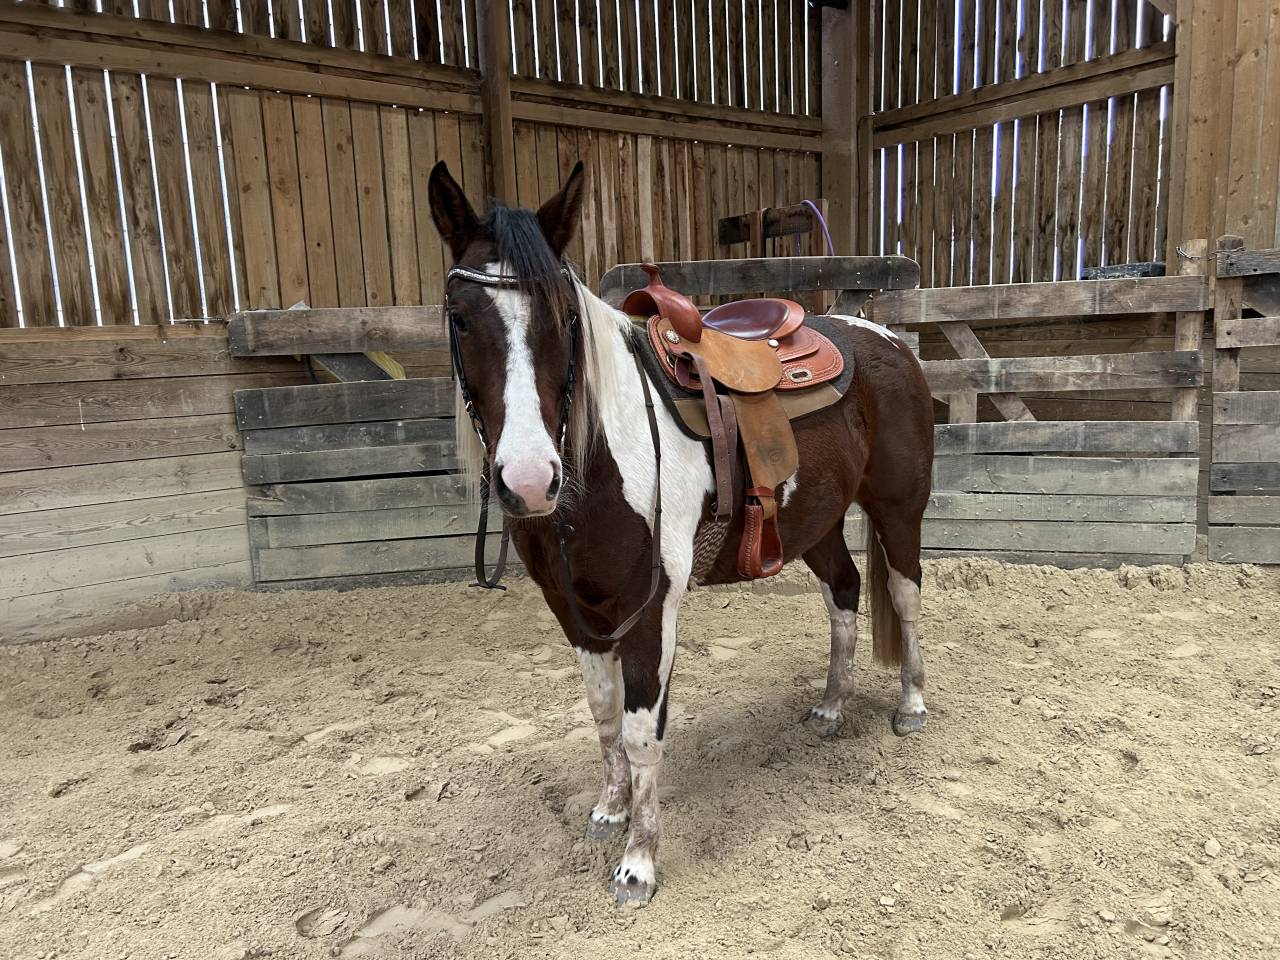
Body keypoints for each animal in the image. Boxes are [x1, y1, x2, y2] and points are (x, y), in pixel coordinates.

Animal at [428, 160, 934, 906]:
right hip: (815, 523)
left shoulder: (651, 608)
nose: (528, 478)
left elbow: (643, 732)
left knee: (903, 594)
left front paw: (639, 862)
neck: (598, 461)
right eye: (460, 317)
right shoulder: (574, 611)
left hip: (899, 509)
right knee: (843, 593)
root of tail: (886, 338)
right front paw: (610, 810)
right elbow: (604, 713)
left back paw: (912, 705)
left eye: (565, 315)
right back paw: (831, 707)